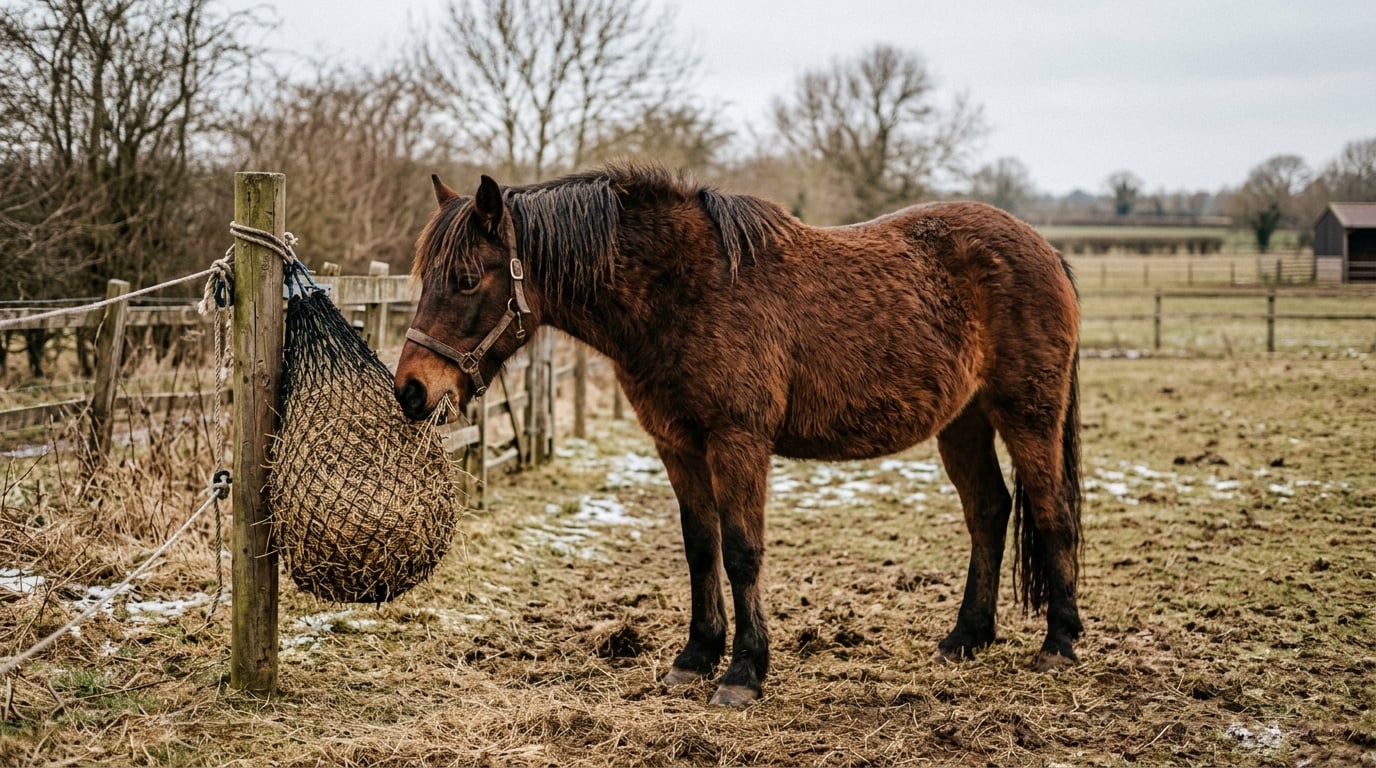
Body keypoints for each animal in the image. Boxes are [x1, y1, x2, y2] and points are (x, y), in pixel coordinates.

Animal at [393, 163, 1084, 707]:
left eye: (465, 278)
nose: (412, 390)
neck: (683, 290)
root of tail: (1045, 250)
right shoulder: (676, 443)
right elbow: (701, 547)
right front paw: (695, 658)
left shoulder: (738, 441)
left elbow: (742, 552)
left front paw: (744, 673)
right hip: (963, 422)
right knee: (990, 511)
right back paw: (967, 637)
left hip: (1027, 414)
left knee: (1051, 512)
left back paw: (1059, 643)